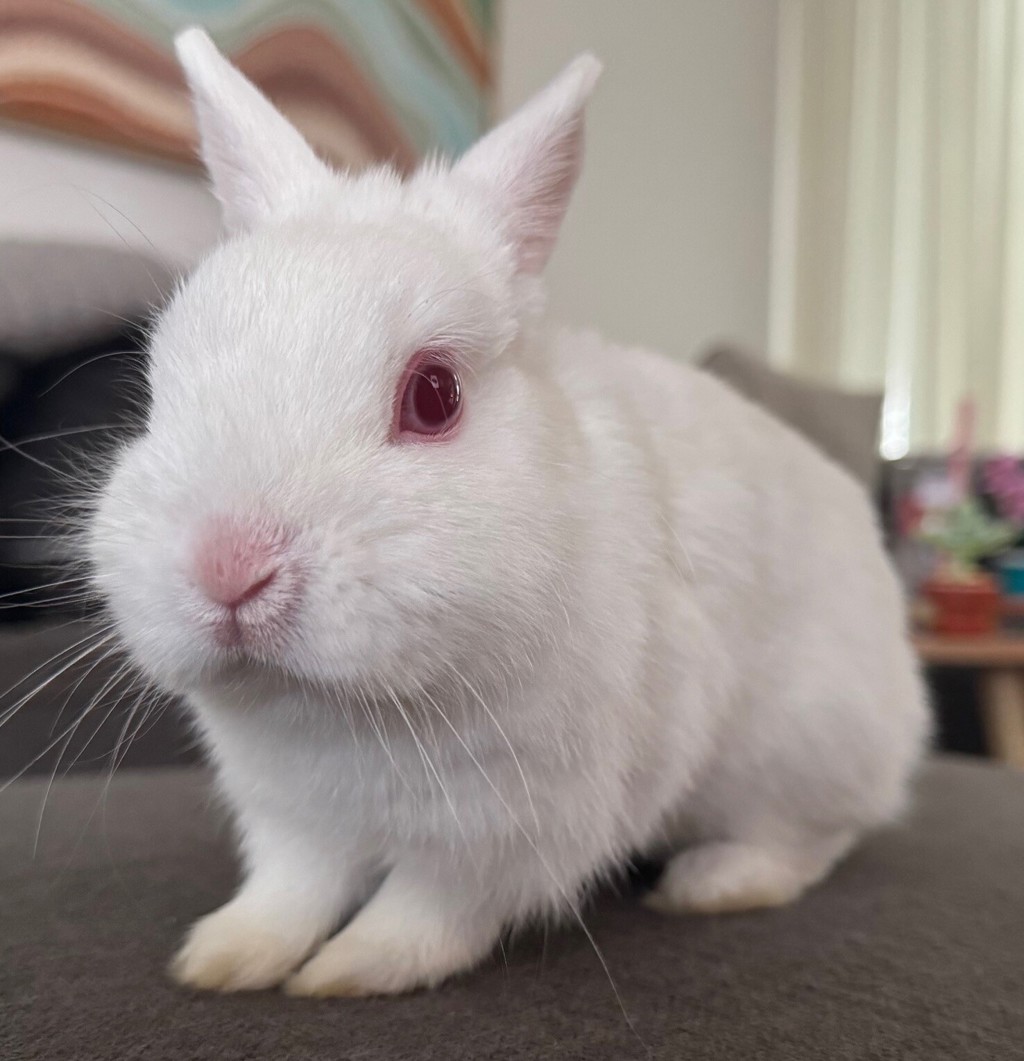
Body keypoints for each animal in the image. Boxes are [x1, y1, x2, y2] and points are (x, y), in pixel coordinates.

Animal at [87, 27, 929, 998]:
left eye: (434, 395)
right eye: (157, 386)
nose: (229, 567)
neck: (351, 711)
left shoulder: (508, 826)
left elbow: (428, 911)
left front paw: (351, 970)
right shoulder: (293, 817)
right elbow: (290, 890)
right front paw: (224, 958)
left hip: (798, 747)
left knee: (811, 838)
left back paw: (712, 883)